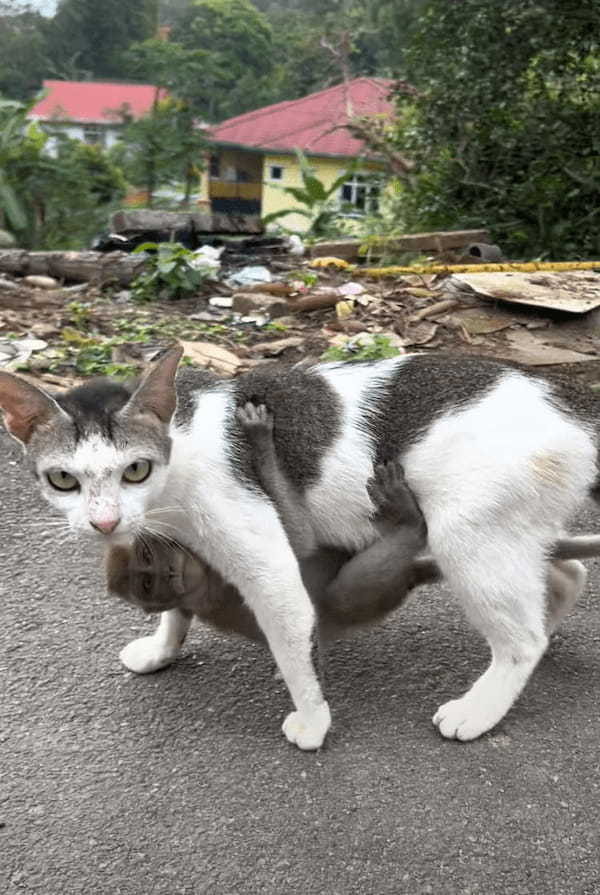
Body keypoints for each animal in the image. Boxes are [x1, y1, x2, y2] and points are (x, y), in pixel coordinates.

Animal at [0, 350, 596, 748]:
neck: (177, 451)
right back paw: (547, 627)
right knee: (567, 574)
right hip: (508, 531)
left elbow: (292, 650)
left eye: (135, 470)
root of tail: (568, 399)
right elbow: (176, 609)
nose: (104, 522)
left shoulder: (270, 566)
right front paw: (162, 646)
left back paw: (482, 705)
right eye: (63, 480)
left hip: (465, 536)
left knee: (521, 639)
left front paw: (312, 721)